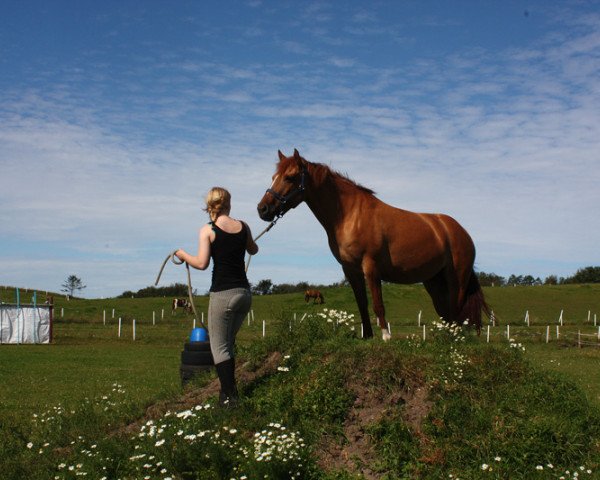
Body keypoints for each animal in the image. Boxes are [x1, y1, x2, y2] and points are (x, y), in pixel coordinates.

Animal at [255, 150, 490, 342]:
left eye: (290, 177)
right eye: (274, 177)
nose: (262, 209)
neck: (350, 215)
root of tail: (459, 230)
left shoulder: (371, 267)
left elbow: (378, 303)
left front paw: (386, 336)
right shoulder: (351, 270)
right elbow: (362, 304)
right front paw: (367, 336)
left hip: (456, 278)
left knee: (456, 307)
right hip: (433, 281)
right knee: (445, 310)